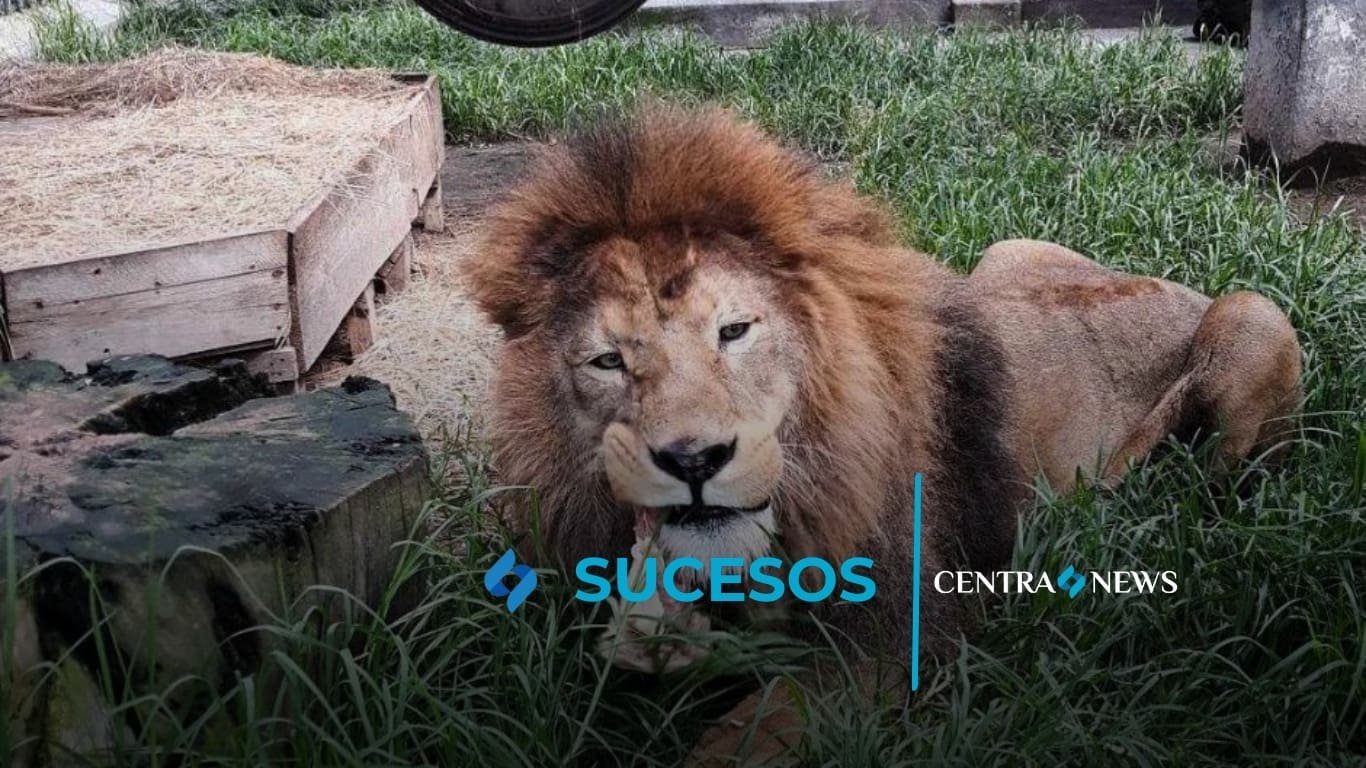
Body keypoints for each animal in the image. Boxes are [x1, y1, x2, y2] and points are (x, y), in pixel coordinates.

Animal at [463, 107, 1302, 762]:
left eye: (734, 331)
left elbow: (737, 741)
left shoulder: (900, 632)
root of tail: (1172, 284)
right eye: (608, 361)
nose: (694, 459)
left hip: (1251, 316)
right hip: (1003, 255)